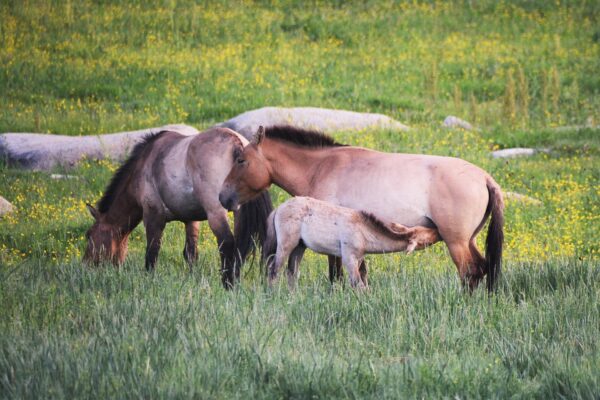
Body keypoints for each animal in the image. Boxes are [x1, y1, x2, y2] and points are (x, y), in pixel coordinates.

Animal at [83, 126, 274, 286]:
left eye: (88, 235)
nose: (85, 265)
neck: (143, 164)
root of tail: (236, 142)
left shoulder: (152, 214)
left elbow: (152, 250)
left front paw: (149, 278)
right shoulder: (191, 219)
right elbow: (191, 253)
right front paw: (192, 278)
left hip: (216, 212)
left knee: (227, 243)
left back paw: (228, 283)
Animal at [264, 196, 438, 288]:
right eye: (424, 238)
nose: (437, 231)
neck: (364, 232)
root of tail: (278, 209)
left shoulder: (359, 257)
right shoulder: (348, 256)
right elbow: (357, 283)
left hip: (300, 246)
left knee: (292, 272)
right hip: (286, 243)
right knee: (274, 269)